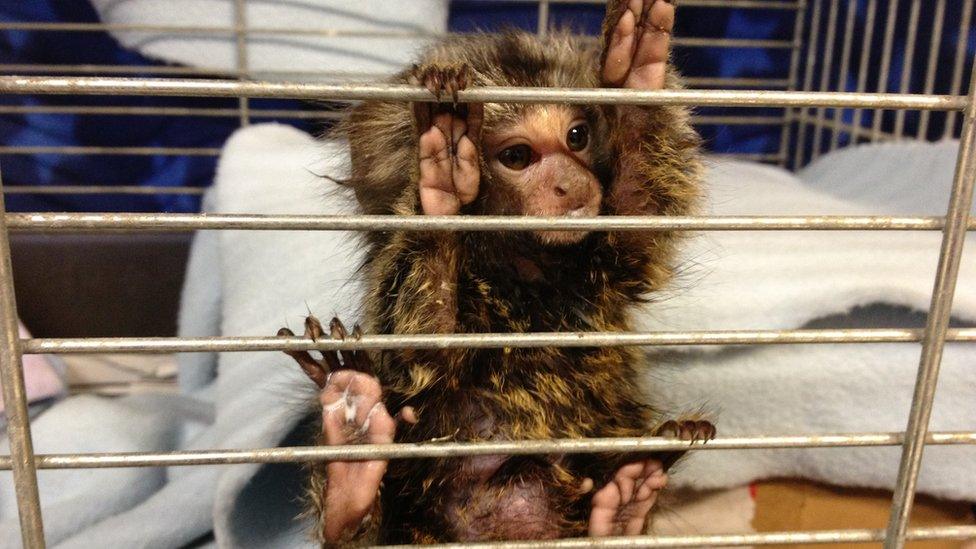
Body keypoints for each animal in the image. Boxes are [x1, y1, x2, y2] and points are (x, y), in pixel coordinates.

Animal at [278, 0, 712, 540]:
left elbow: (640, 216)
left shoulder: (602, 272)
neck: (521, 272)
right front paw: (440, 187)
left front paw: (636, 76)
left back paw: (623, 506)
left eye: (577, 136)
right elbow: (421, 355)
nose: (572, 184)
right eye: (517, 156)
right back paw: (350, 473)